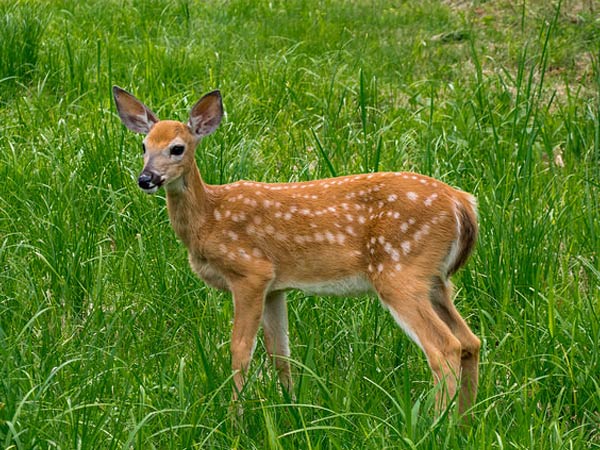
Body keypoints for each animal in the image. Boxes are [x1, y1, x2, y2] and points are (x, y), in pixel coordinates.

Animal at [113, 86, 482, 416]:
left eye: (177, 148)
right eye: (143, 145)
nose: (146, 178)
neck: (209, 218)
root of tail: (463, 204)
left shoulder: (250, 271)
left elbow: (241, 350)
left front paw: (235, 420)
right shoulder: (276, 286)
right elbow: (281, 353)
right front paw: (292, 410)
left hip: (399, 270)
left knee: (445, 347)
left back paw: (437, 425)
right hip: (435, 280)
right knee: (470, 342)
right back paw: (465, 422)